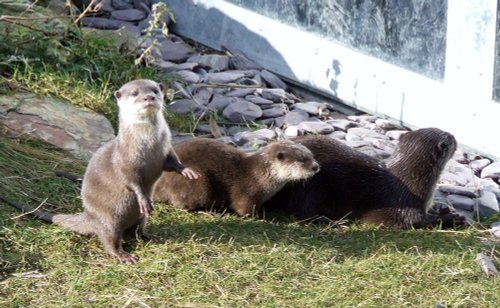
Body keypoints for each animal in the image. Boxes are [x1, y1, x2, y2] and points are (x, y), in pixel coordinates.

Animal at [0, 79, 199, 262]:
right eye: (135, 93)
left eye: (156, 90)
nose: (149, 97)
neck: (148, 143)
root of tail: (89, 215)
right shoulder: (126, 160)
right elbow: (132, 180)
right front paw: (144, 200)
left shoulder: (166, 149)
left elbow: (173, 163)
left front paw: (188, 171)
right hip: (108, 219)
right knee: (109, 239)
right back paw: (123, 255)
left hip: (139, 219)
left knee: (135, 232)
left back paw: (151, 237)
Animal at [153, 137, 320, 217]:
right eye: (301, 160)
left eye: (312, 155)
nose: (316, 167)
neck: (260, 175)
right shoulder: (248, 193)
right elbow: (243, 209)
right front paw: (262, 214)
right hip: (197, 182)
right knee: (182, 204)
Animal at [264, 127, 466, 229]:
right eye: (450, 139)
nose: (456, 136)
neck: (413, 182)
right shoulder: (403, 207)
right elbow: (415, 222)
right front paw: (455, 219)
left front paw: (444, 209)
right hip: (309, 183)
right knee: (303, 212)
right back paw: (333, 222)